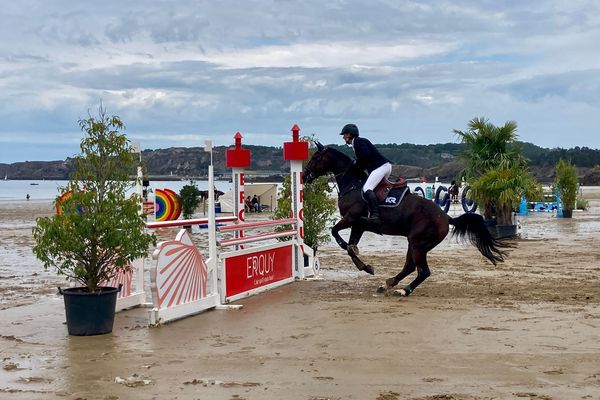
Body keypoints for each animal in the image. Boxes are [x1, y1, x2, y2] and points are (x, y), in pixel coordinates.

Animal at [302, 142, 508, 296]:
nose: (304, 176)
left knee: (423, 271)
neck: (352, 185)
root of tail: (445, 217)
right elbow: (350, 249)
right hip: (414, 242)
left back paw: (404, 290)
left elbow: (336, 234)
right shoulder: (358, 225)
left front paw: (364, 264)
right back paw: (388, 284)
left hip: (418, 243)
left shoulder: (352, 218)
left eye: (315, 158)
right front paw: (366, 266)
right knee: (410, 266)